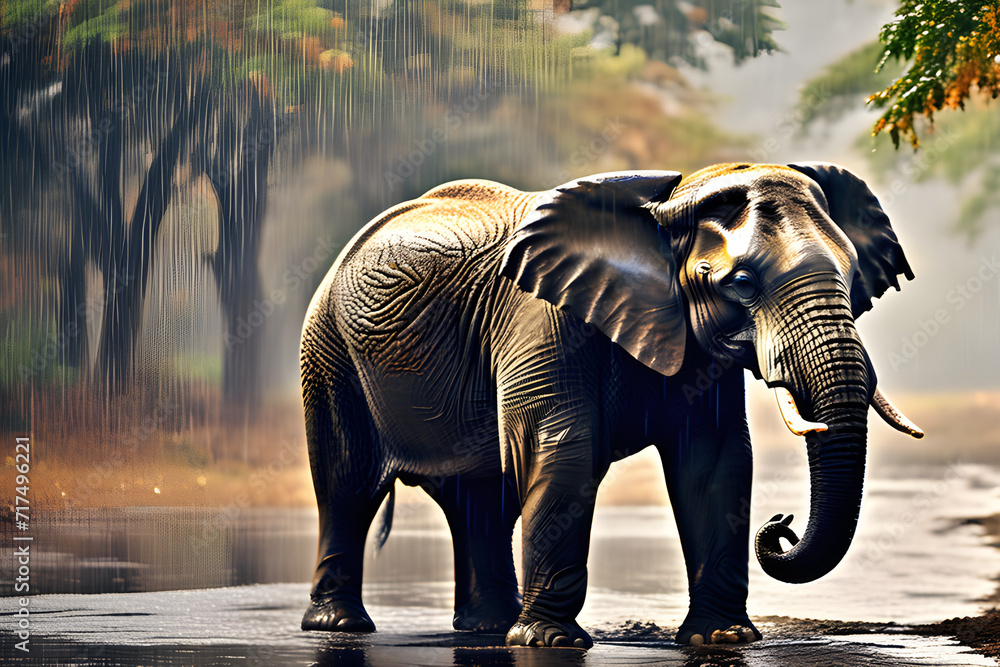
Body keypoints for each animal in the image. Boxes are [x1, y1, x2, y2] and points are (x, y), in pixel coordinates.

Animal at [298, 162, 923, 648]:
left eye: (852, 276)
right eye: (741, 284)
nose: (782, 525)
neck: (671, 204)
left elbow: (715, 462)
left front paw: (721, 639)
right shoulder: (544, 322)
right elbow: (562, 450)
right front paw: (549, 644)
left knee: (479, 497)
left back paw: (487, 630)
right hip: (328, 355)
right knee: (347, 485)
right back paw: (341, 628)